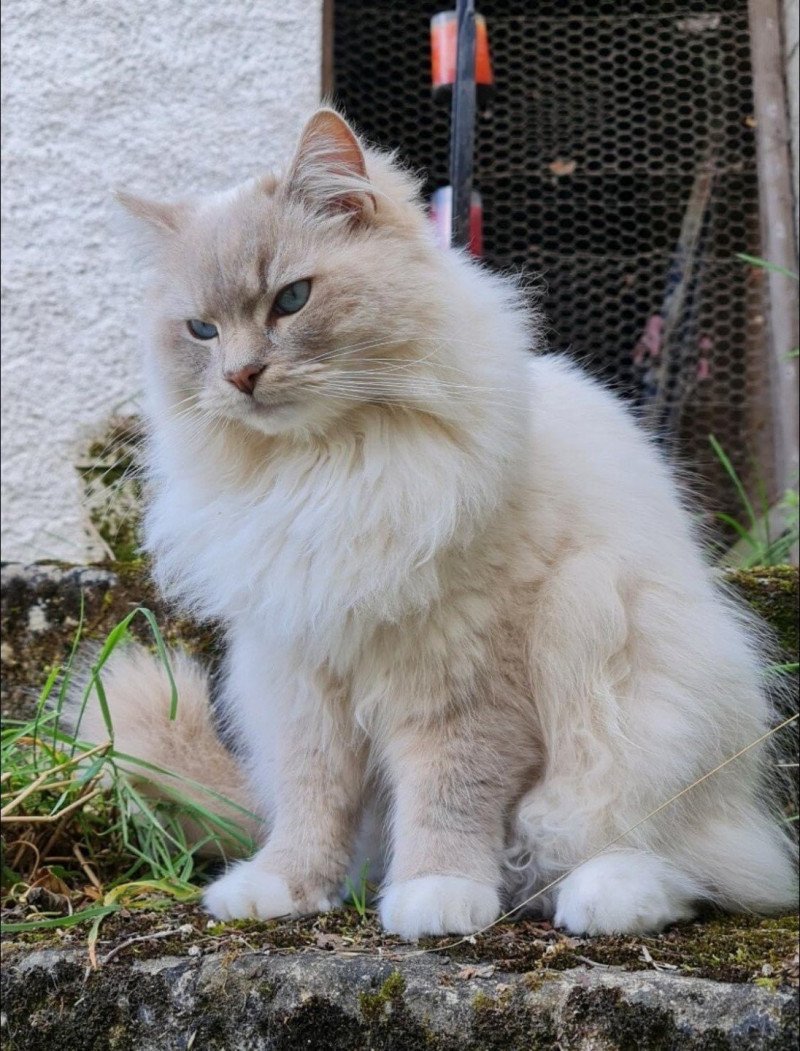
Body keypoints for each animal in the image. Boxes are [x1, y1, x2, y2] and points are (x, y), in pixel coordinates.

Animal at [67, 110, 794, 941]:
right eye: (201, 330)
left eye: (291, 300)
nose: (241, 376)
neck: (328, 469)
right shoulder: (304, 677)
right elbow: (313, 803)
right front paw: (285, 887)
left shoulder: (461, 678)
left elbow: (449, 797)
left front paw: (436, 893)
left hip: (622, 658)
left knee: (676, 860)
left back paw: (606, 896)